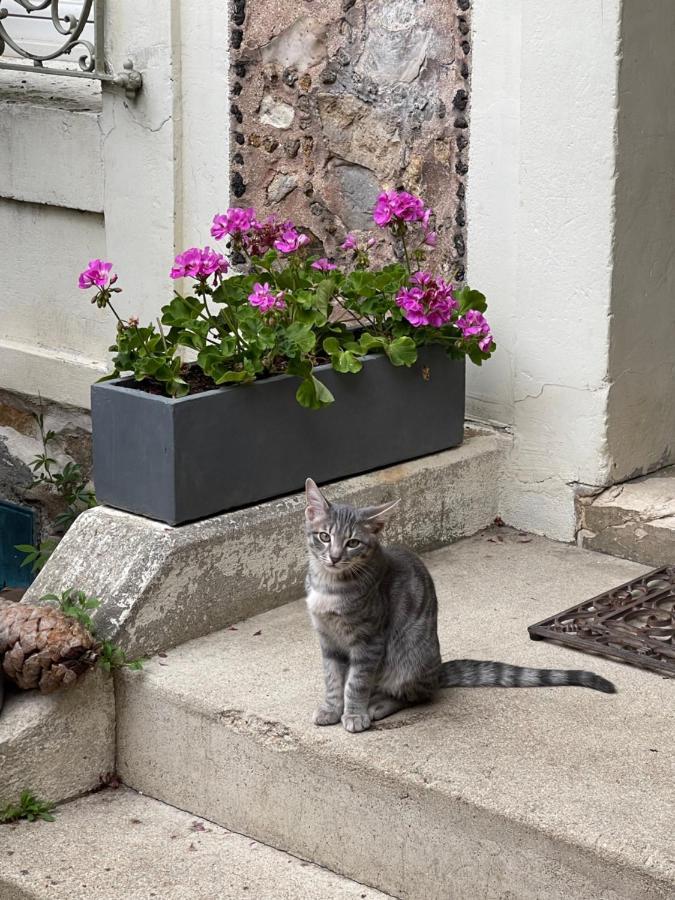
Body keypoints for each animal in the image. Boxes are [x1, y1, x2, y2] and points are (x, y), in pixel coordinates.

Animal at [306, 478, 616, 732]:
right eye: (324, 537)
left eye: (353, 543)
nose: (334, 557)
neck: (329, 584)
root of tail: (436, 672)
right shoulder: (327, 640)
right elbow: (333, 679)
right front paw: (332, 708)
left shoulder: (369, 641)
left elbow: (356, 681)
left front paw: (353, 713)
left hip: (410, 656)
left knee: (414, 695)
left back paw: (379, 704)